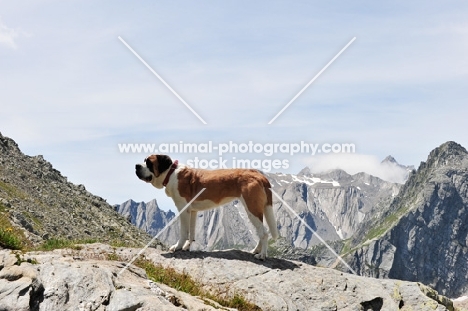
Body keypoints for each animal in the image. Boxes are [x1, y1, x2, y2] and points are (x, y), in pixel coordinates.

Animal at [137, 155, 280, 260]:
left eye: (149, 162)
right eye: (144, 160)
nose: (136, 166)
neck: (171, 173)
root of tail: (259, 175)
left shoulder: (183, 209)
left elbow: (183, 232)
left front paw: (177, 247)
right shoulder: (192, 211)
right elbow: (192, 232)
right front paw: (187, 247)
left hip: (252, 209)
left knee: (264, 233)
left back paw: (262, 255)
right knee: (261, 231)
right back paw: (256, 250)